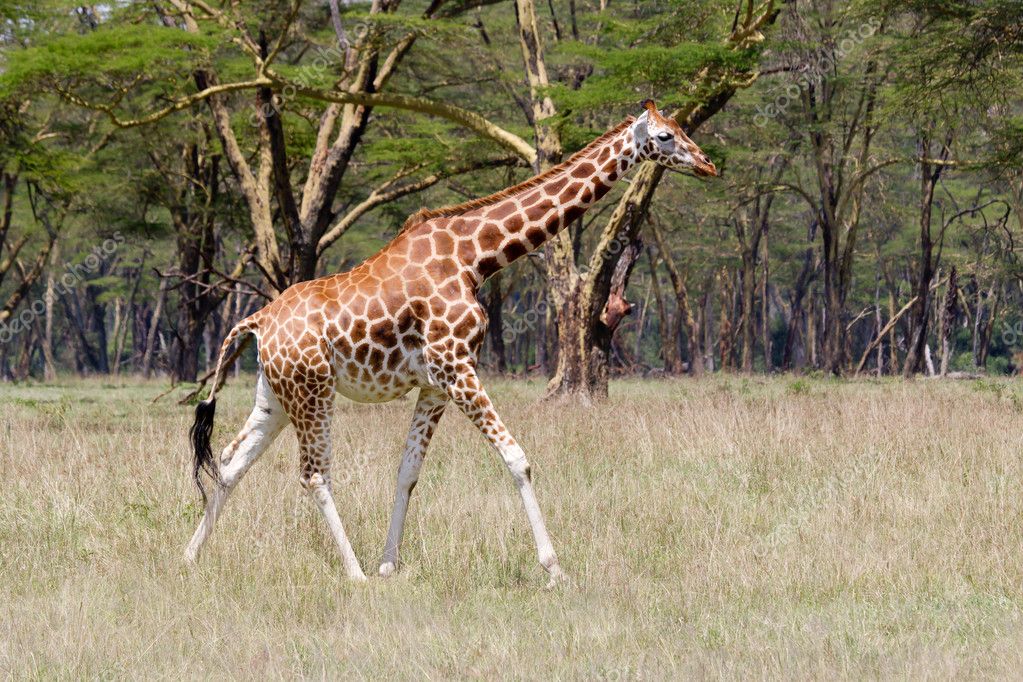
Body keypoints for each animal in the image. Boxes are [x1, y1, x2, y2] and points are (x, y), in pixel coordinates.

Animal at [188, 101, 720, 588]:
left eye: (682, 129)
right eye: (666, 136)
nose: (708, 164)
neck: (476, 256)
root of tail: (257, 321)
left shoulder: (435, 383)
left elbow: (408, 471)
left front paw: (390, 565)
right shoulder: (457, 366)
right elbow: (517, 459)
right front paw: (554, 570)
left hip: (276, 395)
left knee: (232, 461)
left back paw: (188, 558)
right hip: (312, 391)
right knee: (314, 474)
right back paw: (354, 574)